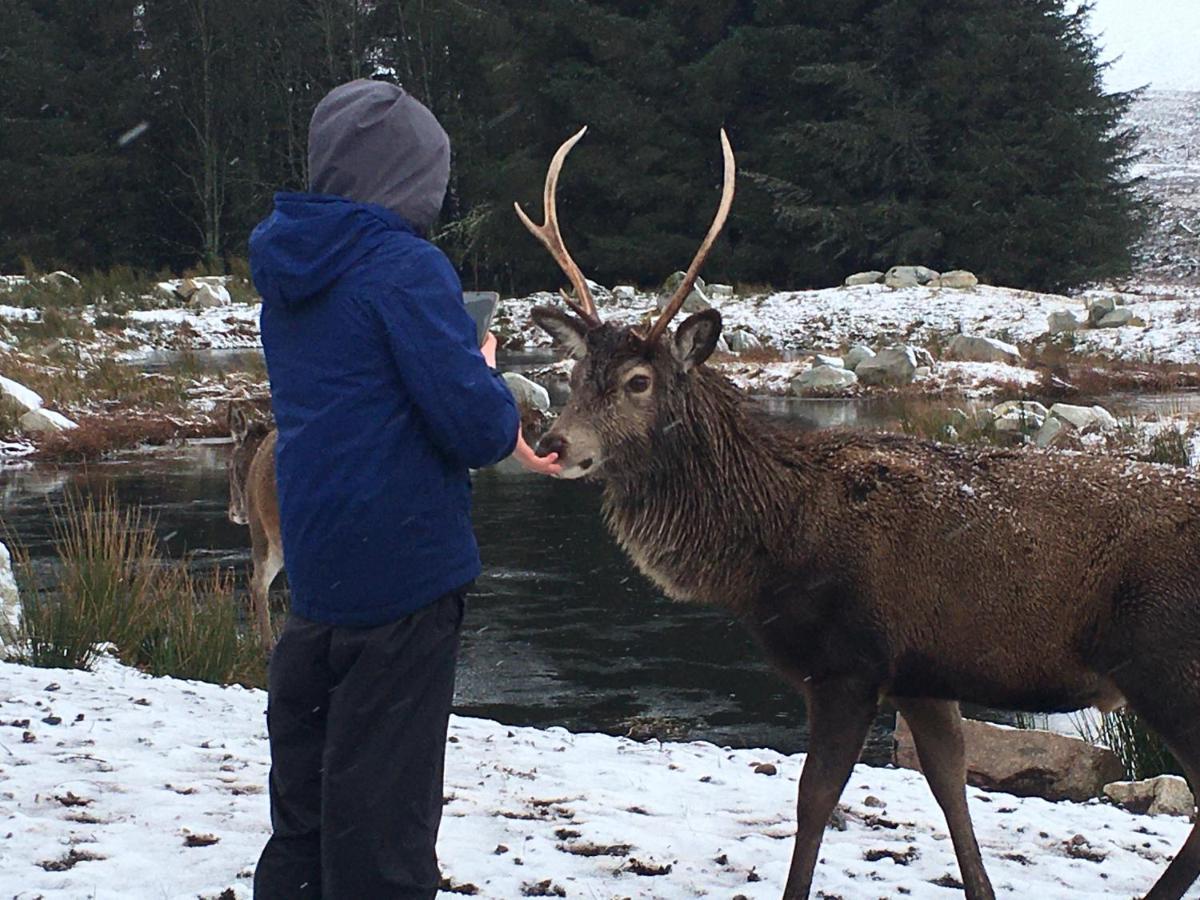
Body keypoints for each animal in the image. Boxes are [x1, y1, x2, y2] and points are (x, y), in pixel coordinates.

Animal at [520, 127, 1200, 900]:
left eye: (639, 381)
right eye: (577, 376)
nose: (553, 442)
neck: (770, 545)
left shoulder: (848, 663)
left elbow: (814, 800)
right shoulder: (922, 672)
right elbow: (951, 788)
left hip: (1165, 660)